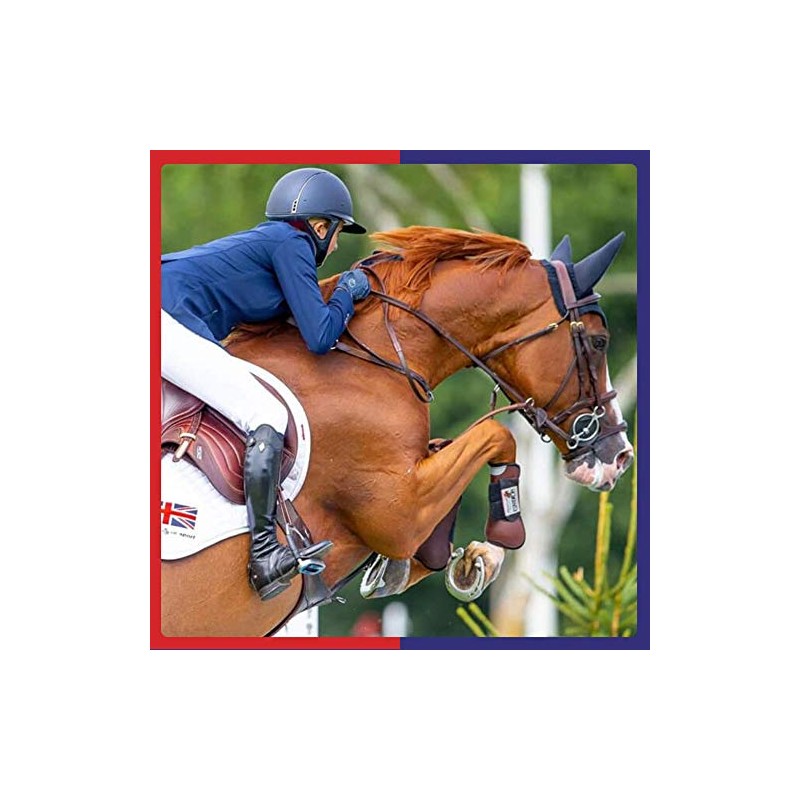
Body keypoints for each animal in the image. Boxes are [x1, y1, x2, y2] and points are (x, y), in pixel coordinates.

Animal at [160, 226, 634, 637]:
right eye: (599, 342)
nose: (620, 455)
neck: (371, 359)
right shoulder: (398, 510)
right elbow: (497, 437)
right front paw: (502, 534)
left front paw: (467, 563)